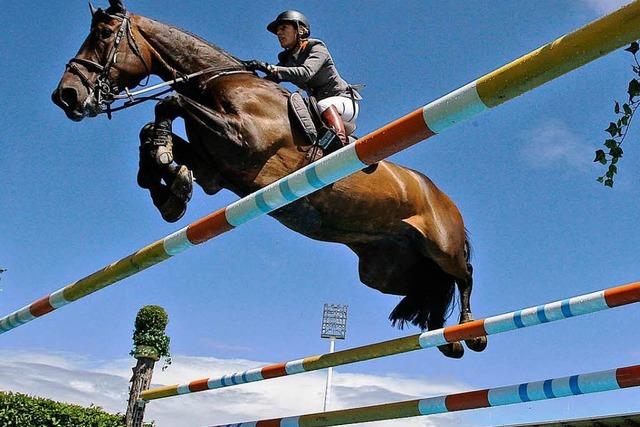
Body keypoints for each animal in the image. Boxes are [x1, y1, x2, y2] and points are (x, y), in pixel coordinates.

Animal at [52, 1, 488, 360]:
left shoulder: (244, 141)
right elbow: (155, 134)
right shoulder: (216, 170)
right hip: (383, 272)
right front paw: (170, 188)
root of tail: (442, 196)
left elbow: (169, 103)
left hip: (441, 245)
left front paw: (168, 178)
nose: (66, 96)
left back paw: (471, 331)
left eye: (103, 35)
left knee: (464, 273)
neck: (218, 82)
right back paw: (441, 335)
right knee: (431, 287)